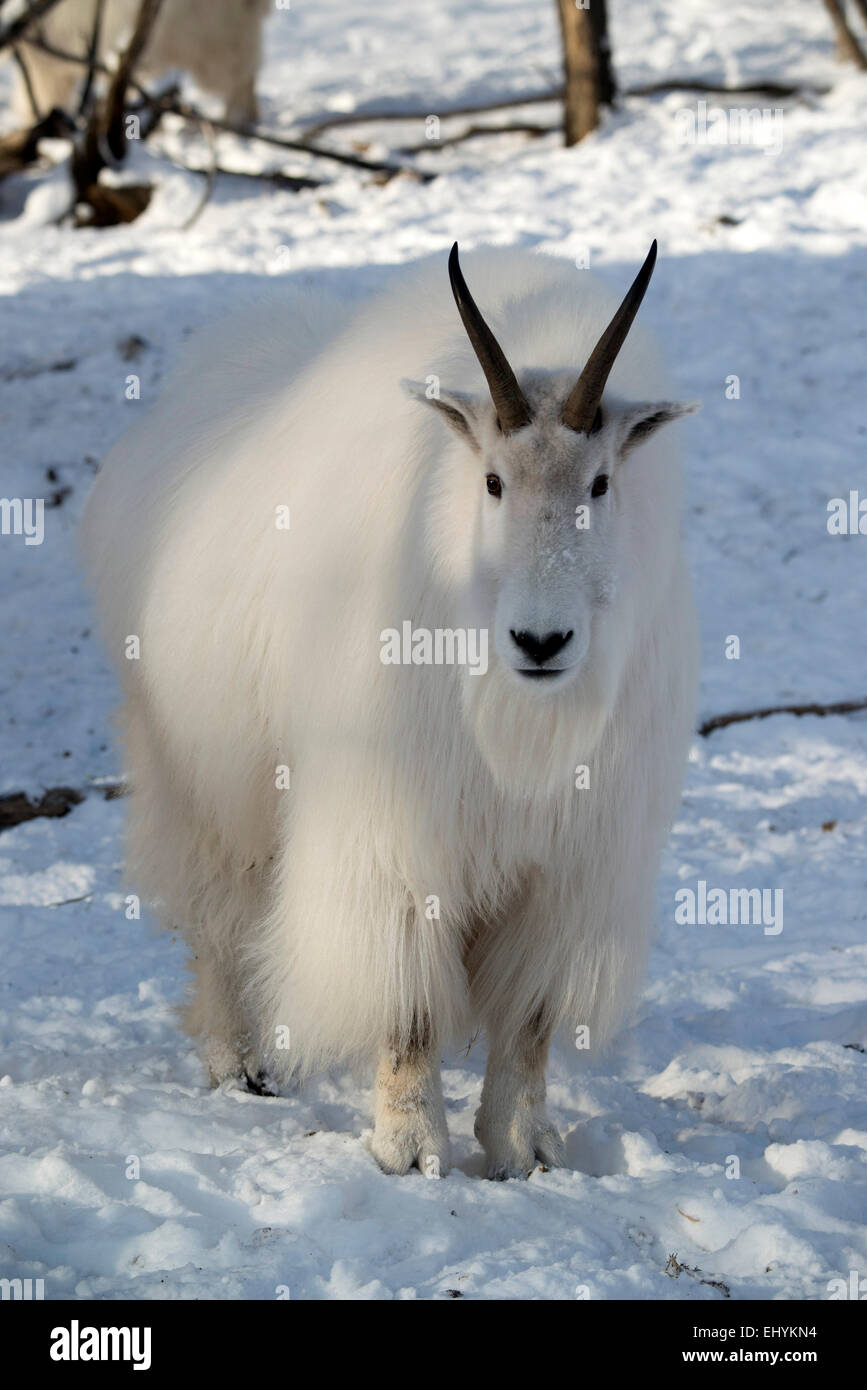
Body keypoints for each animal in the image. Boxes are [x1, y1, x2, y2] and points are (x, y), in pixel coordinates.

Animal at [82, 242, 699, 1179]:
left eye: (599, 482)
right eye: (491, 480)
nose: (541, 639)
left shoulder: (570, 869)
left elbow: (530, 1019)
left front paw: (522, 1148)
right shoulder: (394, 835)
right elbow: (404, 1003)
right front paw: (410, 1149)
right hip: (197, 785)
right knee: (218, 919)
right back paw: (238, 1064)